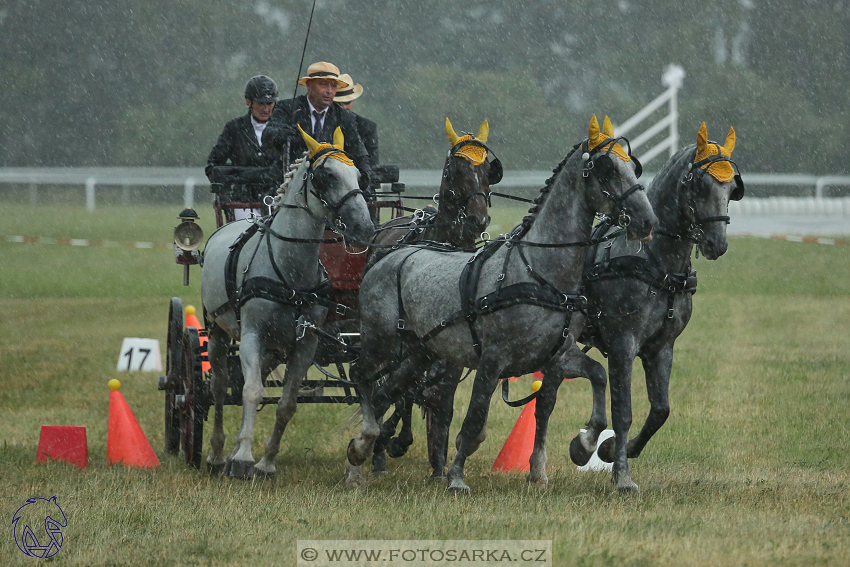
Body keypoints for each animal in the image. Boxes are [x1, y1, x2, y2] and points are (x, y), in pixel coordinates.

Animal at [200, 127, 372, 480]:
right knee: (221, 388)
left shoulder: (305, 343)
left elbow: (287, 402)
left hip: (276, 346)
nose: (365, 228)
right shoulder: (251, 334)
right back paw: (218, 455)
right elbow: (251, 391)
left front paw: (265, 462)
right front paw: (243, 459)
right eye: (325, 175)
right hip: (218, 331)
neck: (289, 273)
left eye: (358, 175)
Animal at [344, 116, 656, 496]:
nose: (647, 221)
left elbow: (596, 375)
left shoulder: (556, 355)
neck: (538, 272)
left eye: (633, 166)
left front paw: (583, 445)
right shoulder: (492, 359)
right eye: (608, 170)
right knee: (361, 378)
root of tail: (386, 257)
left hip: (418, 354)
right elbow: (474, 419)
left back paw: (360, 458)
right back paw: (362, 446)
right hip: (382, 343)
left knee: (384, 394)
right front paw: (456, 477)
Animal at [568, 123, 744, 492]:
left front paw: (609, 449)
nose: (717, 244)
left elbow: (660, 410)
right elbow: (623, 411)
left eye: (732, 187)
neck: (658, 265)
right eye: (700, 185)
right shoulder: (623, 345)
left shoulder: (661, 347)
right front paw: (621, 474)